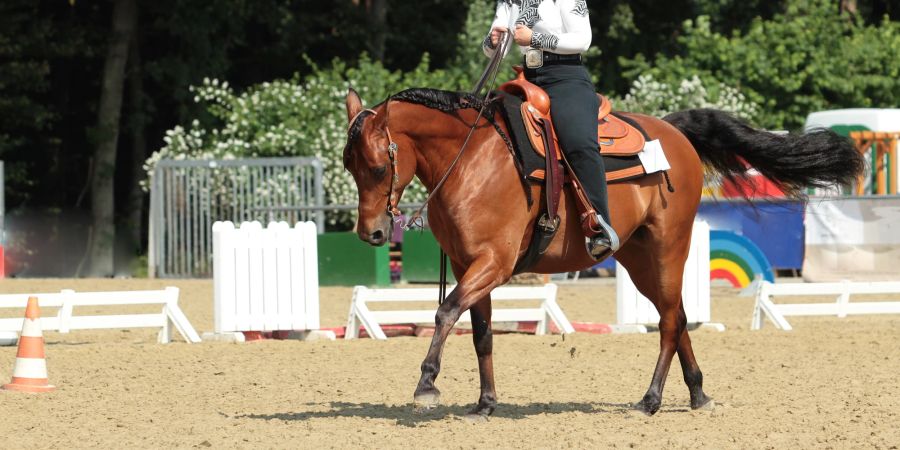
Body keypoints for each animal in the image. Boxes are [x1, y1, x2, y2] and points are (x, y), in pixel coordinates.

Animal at [342, 87, 860, 418]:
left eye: (377, 165)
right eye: (349, 165)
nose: (371, 233)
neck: (471, 159)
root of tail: (672, 131)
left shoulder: (493, 264)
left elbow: (445, 312)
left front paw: (427, 383)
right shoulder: (470, 266)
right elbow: (482, 335)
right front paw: (484, 404)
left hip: (668, 249)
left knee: (670, 322)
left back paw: (651, 401)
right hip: (638, 259)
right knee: (677, 315)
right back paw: (697, 394)